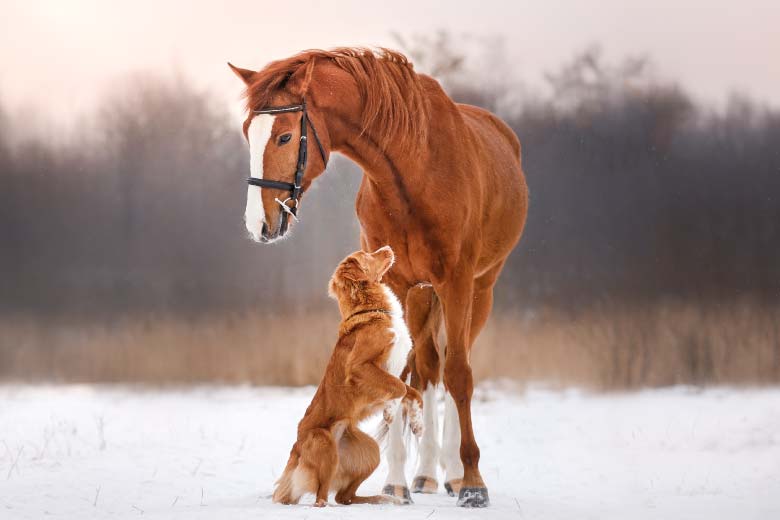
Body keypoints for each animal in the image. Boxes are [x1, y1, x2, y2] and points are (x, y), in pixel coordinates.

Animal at [272, 246, 424, 506]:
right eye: (367, 254)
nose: (388, 248)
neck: (372, 310)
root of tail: (296, 448)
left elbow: (413, 393)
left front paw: (417, 423)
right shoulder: (360, 366)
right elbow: (399, 388)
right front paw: (390, 410)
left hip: (371, 450)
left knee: (345, 496)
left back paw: (382, 499)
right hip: (325, 444)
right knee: (321, 496)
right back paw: (327, 505)